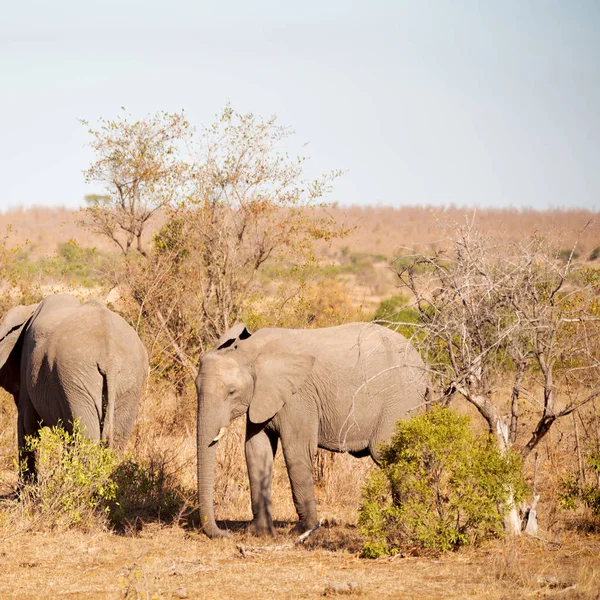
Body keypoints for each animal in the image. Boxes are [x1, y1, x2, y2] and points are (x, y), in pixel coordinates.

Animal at [0, 292, 148, 478]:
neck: (29, 310)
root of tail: (110, 358)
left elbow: (27, 427)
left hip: (75, 377)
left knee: (85, 441)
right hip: (128, 382)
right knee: (114, 442)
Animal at [196, 324, 426, 540]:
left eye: (231, 392)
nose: (226, 532)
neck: (251, 350)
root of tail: (422, 364)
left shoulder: (298, 397)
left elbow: (295, 451)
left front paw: (303, 531)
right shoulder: (261, 397)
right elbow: (256, 451)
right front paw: (260, 533)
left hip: (400, 401)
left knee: (387, 453)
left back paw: (404, 522)